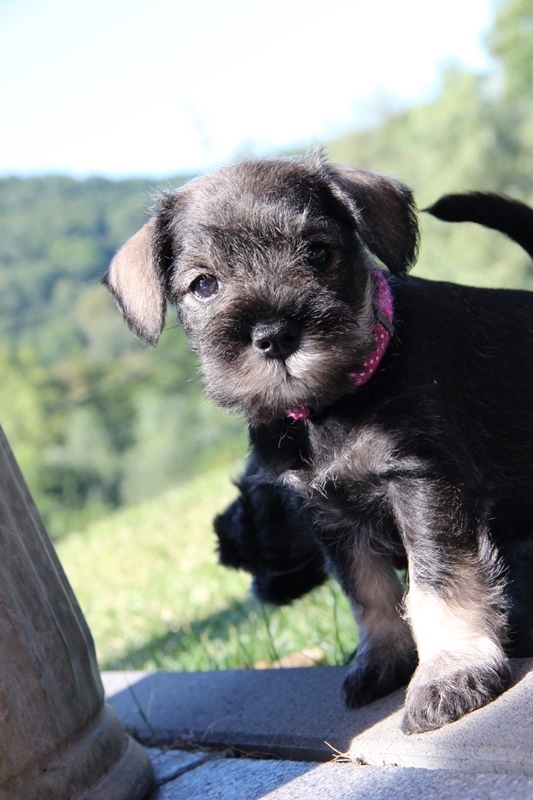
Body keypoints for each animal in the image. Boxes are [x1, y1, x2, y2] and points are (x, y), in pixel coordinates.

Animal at [104, 153, 532, 736]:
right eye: (204, 284)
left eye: (318, 252)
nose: (274, 334)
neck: (330, 405)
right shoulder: (329, 514)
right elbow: (367, 591)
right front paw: (383, 661)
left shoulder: (422, 482)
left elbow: (436, 581)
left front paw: (450, 672)